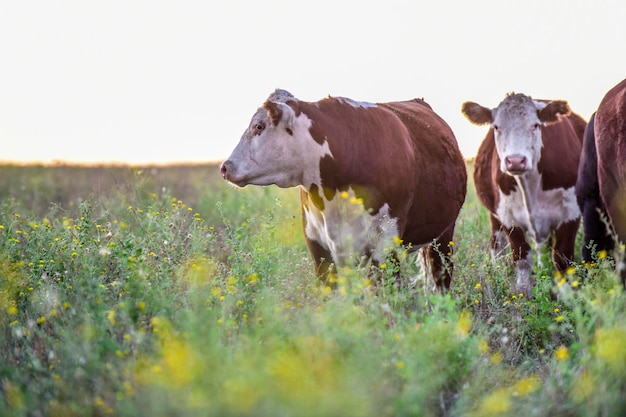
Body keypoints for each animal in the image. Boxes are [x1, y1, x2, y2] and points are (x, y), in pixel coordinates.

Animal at [219, 88, 464, 290]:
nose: (225, 167)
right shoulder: (318, 247)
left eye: (258, 126)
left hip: (443, 236)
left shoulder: (385, 245)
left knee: (440, 279)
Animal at [458, 94, 584, 296]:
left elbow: (563, 258)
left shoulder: (571, 212)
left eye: (535, 125)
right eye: (496, 127)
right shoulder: (509, 217)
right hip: (494, 214)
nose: (515, 160)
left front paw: (567, 294)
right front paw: (523, 292)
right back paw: (497, 269)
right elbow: (521, 257)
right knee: (496, 242)